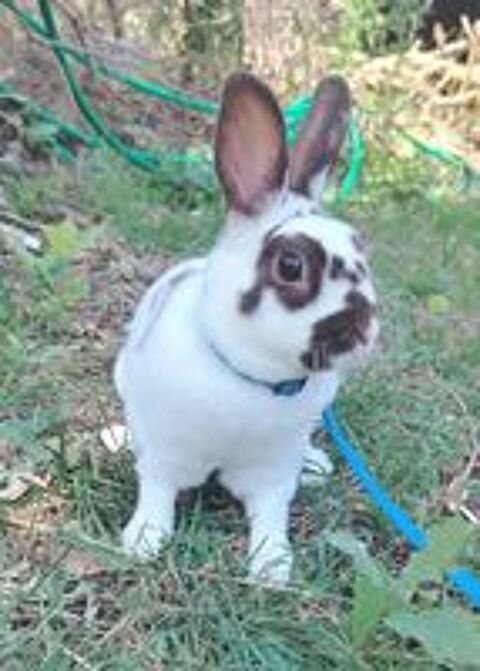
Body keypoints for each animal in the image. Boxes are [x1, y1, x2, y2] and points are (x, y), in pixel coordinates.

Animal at [114, 72, 379, 586]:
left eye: (361, 250)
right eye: (291, 265)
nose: (366, 334)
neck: (252, 378)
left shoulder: (272, 472)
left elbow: (272, 514)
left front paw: (272, 565)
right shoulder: (165, 453)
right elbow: (155, 491)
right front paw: (142, 541)